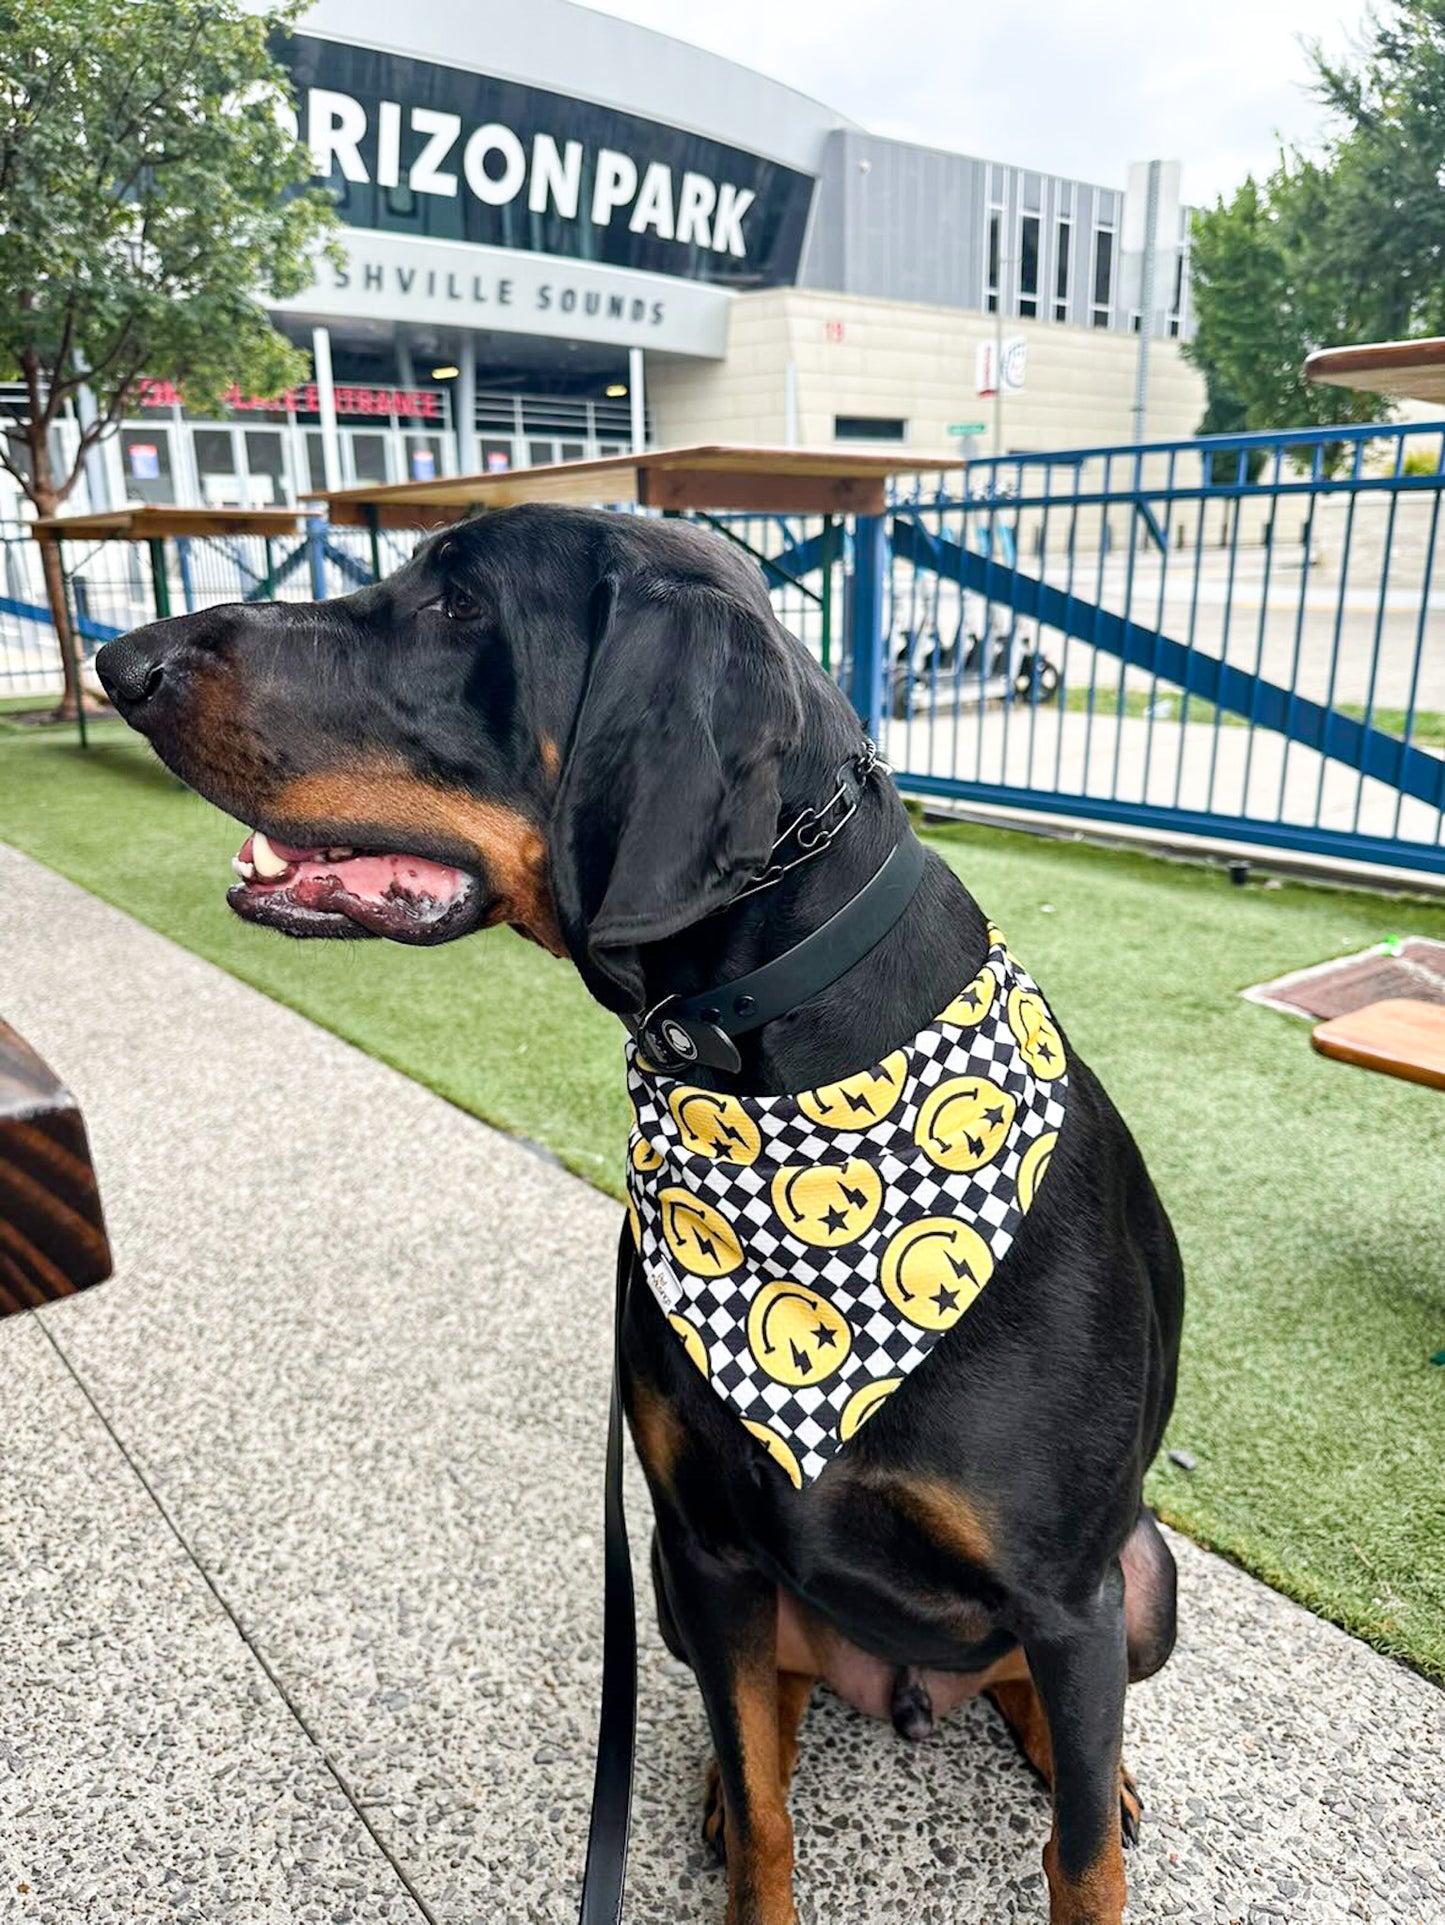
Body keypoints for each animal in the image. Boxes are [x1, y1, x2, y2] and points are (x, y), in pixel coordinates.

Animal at [99, 508, 1185, 1925]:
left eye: (456, 607)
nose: (122, 659)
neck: (766, 1062)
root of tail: (906, 1690)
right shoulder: (707, 1548)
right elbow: (772, 1812)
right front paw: (745, 1827)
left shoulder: (1063, 1595)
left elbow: (1079, 1859)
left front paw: (1087, 1815)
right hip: (671, 1587)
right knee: (773, 1710)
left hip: (1140, 1581)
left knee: (1057, 1716)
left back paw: (1073, 1753)